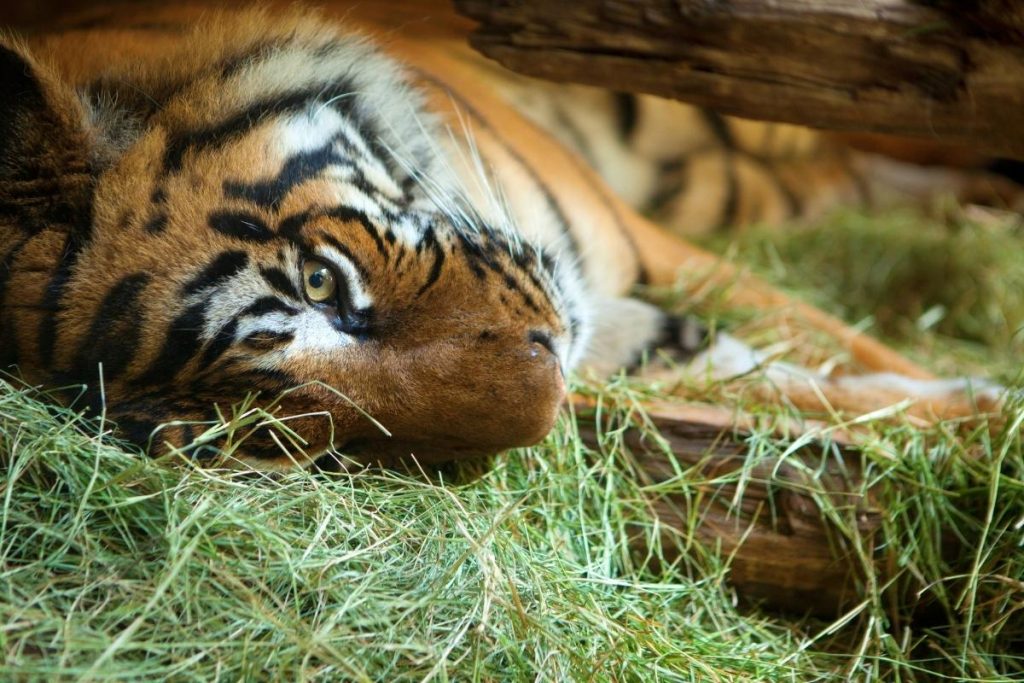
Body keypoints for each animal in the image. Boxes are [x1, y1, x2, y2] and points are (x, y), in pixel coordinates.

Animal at [0, 1, 1007, 471]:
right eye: (286, 427)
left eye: (322, 284)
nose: (549, 388)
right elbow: (790, 386)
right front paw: (976, 408)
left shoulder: (663, 250)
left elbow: (839, 339)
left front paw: (995, 409)